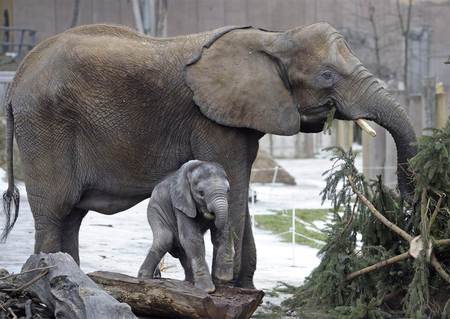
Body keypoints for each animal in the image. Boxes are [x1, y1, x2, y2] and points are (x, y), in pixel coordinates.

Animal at [138, 161, 234, 294]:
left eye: (228, 191)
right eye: (201, 193)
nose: (211, 213)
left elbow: (222, 233)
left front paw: (223, 277)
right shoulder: (181, 204)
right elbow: (192, 238)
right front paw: (207, 289)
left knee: (181, 250)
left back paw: (189, 281)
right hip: (155, 209)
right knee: (164, 239)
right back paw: (144, 278)